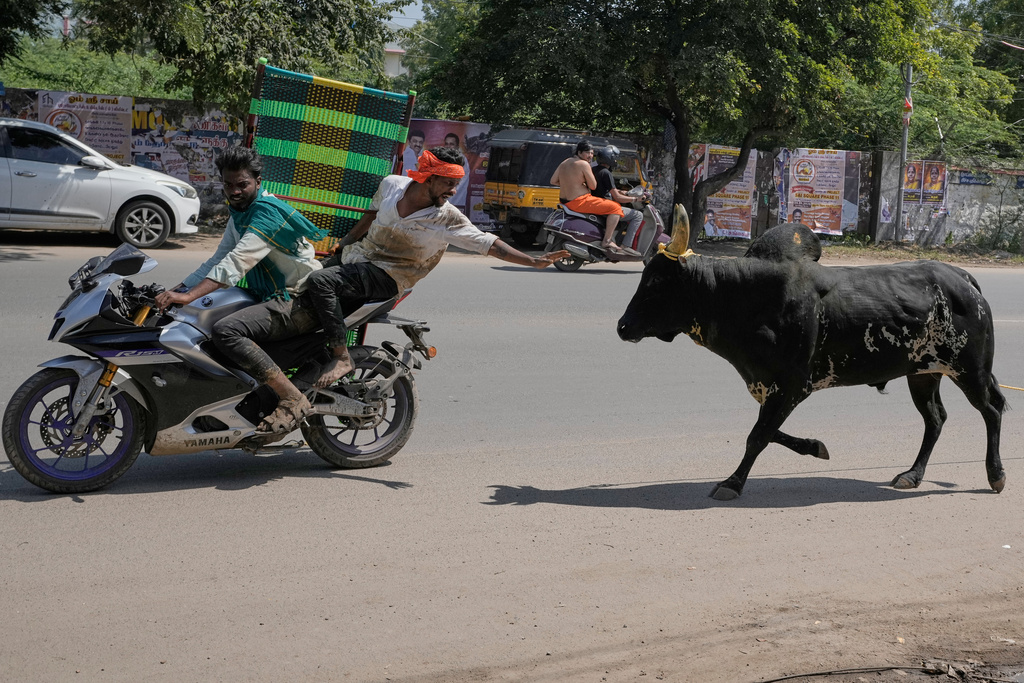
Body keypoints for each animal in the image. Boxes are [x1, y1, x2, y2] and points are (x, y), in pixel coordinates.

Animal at [617, 206, 1007, 500]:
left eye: (657, 283)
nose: (622, 326)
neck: (744, 297)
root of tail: (962, 277)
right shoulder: (770, 386)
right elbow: (768, 431)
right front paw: (815, 446)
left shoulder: (792, 385)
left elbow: (758, 435)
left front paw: (732, 483)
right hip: (923, 374)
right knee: (936, 419)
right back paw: (912, 474)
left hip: (969, 370)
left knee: (991, 411)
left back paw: (996, 475)